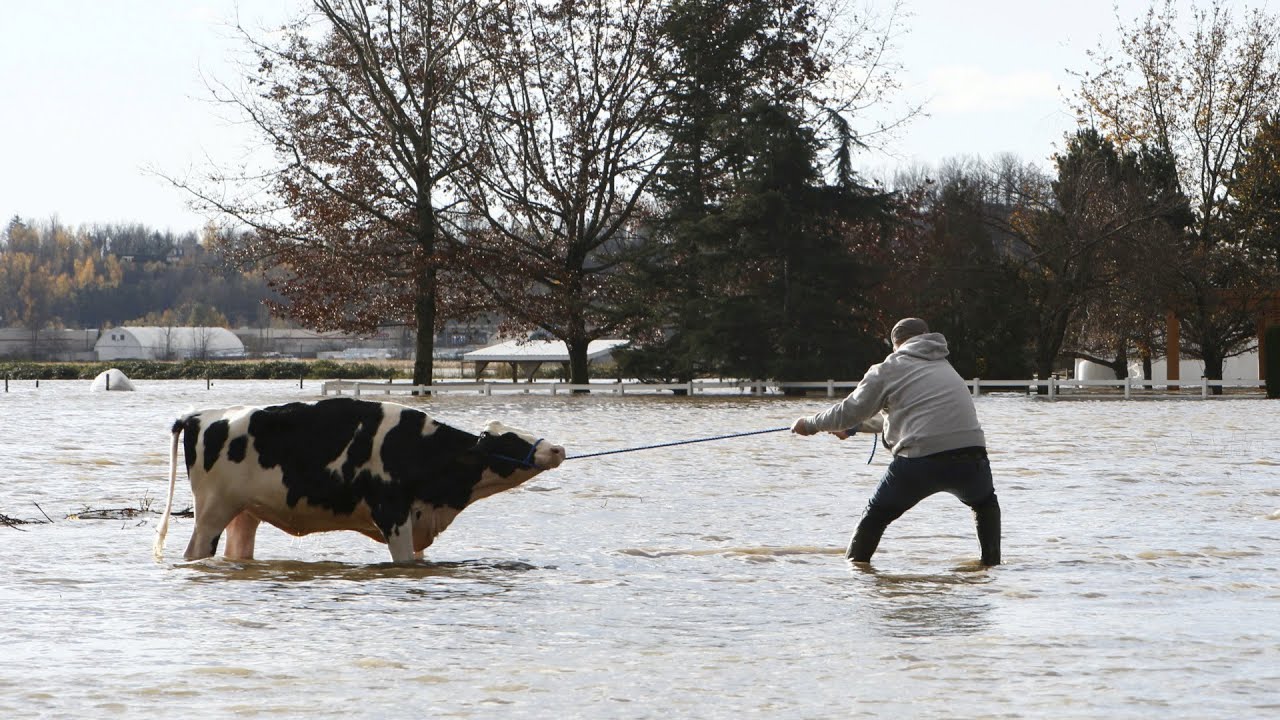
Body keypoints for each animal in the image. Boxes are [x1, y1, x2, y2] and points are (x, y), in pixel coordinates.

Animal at [153, 397, 566, 563]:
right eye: (509, 440)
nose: (558, 448)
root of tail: (198, 416)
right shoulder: (393, 515)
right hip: (211, 512)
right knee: (195, 551)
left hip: (244, 513)